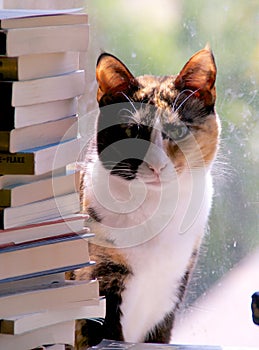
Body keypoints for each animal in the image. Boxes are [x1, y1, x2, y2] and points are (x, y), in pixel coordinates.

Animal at [68, 45, 221, 348]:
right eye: (133, 131)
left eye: (178, 130)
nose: (156, 165)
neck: (155, 210)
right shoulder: (99, 281)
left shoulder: (172, 290)